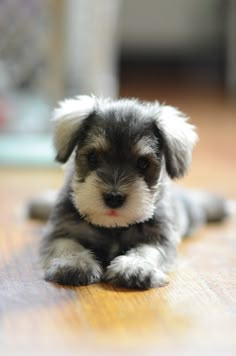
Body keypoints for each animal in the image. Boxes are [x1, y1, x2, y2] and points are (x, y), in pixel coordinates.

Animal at [29, 95, 230, 290]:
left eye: (143, 163)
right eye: (93, 156)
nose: (113, 198)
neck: (113, 227)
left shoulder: (161, 238)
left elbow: (147, 250)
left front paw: (135, 267)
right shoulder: (62, 230)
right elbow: (67, 245)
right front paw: (75, 264)